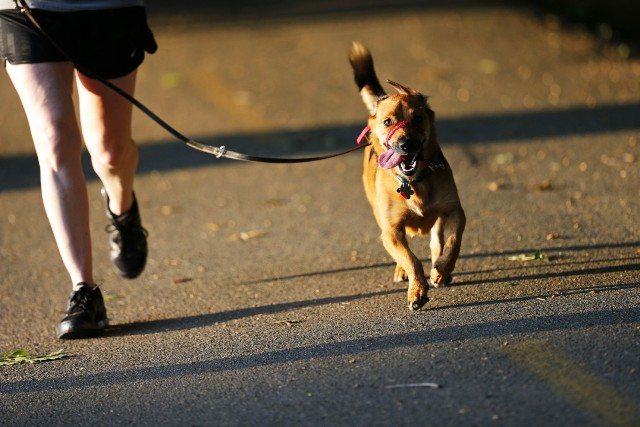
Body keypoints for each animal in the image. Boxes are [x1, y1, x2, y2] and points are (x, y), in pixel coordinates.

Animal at [350, 42, 464, 310]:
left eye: (418, 118)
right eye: (388, 122)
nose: (407, 144)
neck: (414, 182)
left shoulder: (455, 211)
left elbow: (453, 242)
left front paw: (442, 270)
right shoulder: (391, 230)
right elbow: (411, 259)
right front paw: (417, 291)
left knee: (436, 239)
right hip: (379, 217)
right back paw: (403, 271)